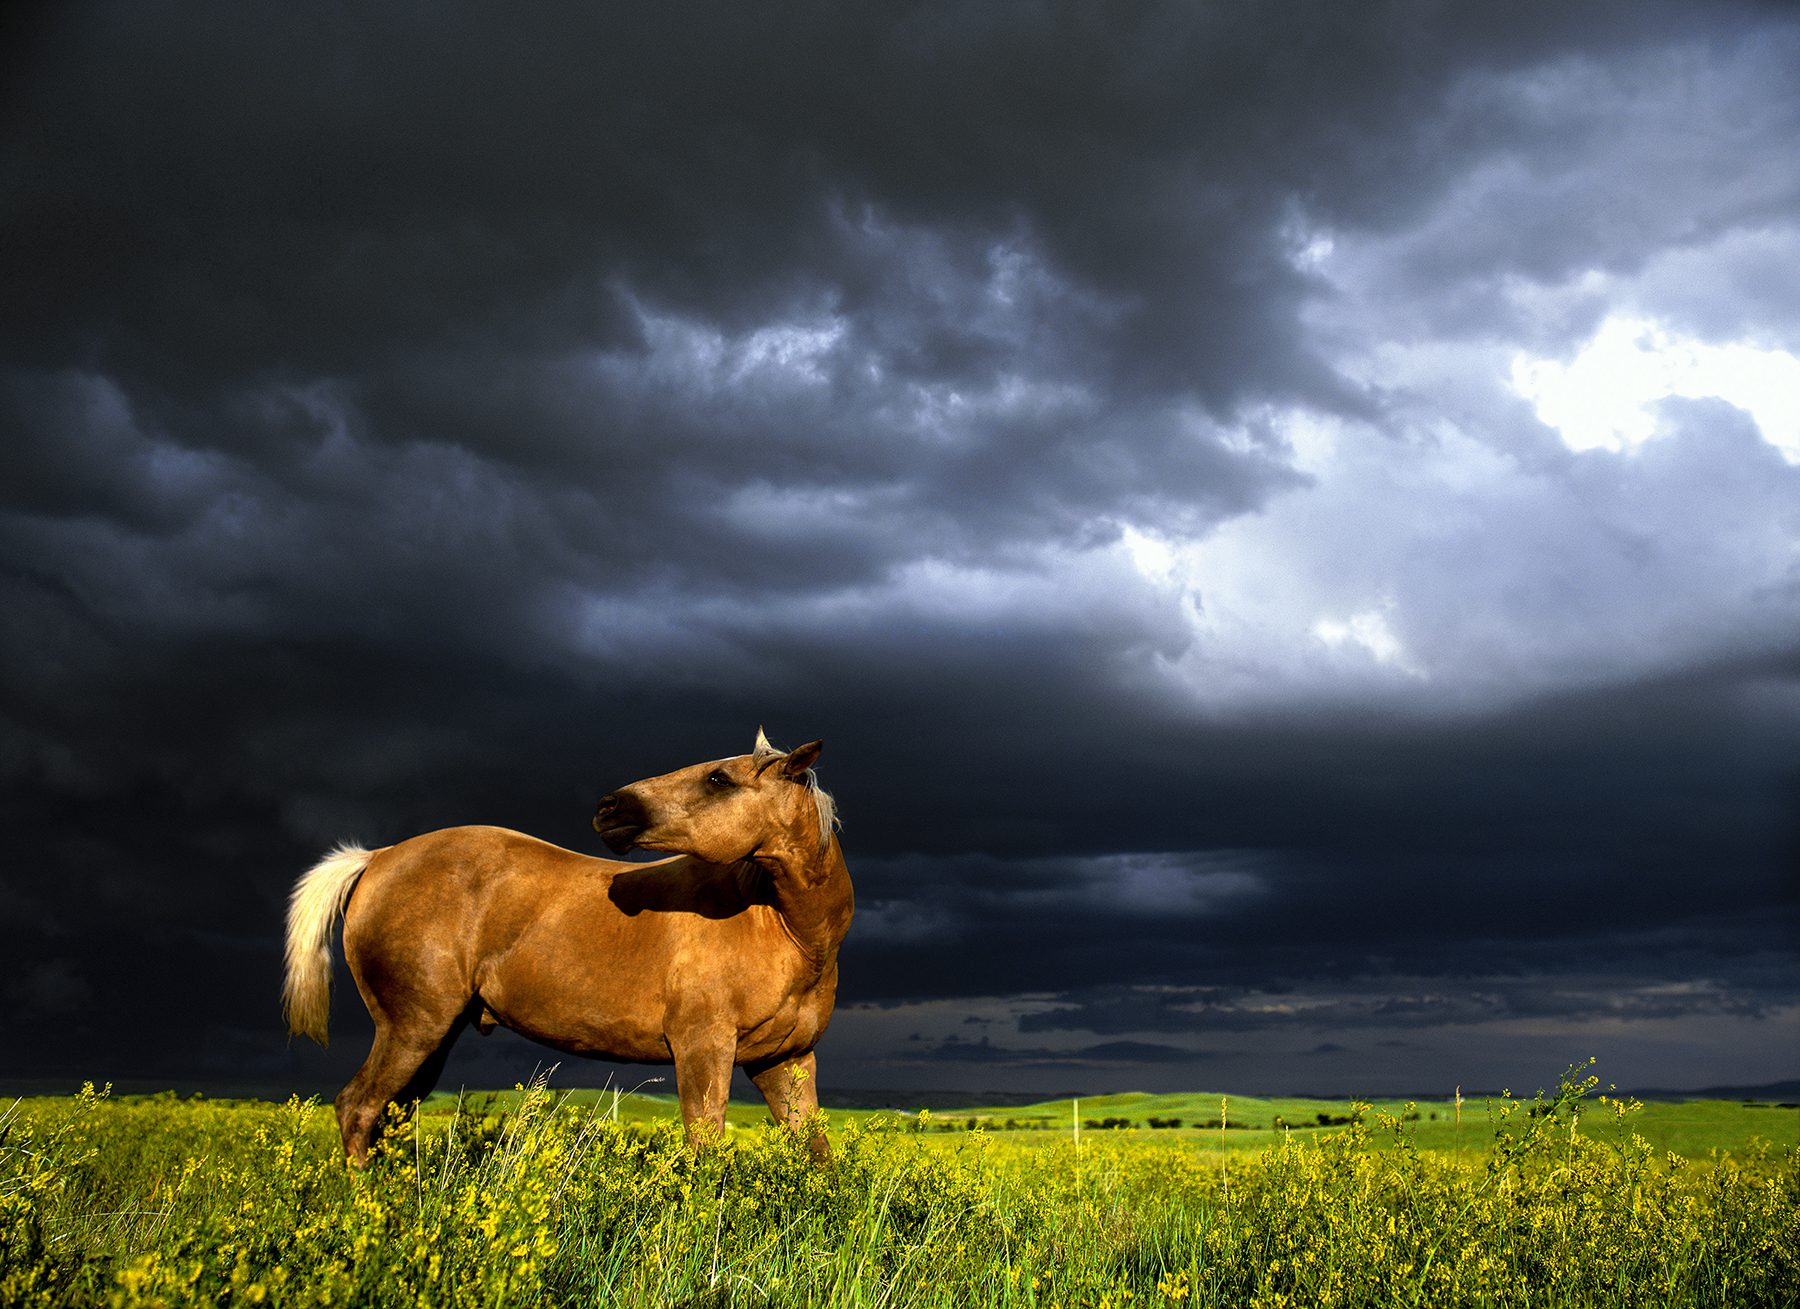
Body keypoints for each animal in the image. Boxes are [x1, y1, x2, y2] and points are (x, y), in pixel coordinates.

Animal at [281, 730, 852, 1162]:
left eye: (718, 778)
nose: (609, 807)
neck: (784, 929)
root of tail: (377, 858)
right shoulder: (703, 1049)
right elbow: (705, 1152)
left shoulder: (786, 1061)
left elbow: (816, 1153)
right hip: (411, 1029)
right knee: (357, 1109)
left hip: (431, 1040)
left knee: (386, 1116)